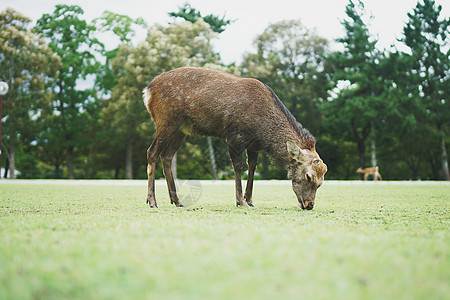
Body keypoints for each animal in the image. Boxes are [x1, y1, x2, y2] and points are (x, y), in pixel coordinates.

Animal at [143, 67, 326, 210]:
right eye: (308, 177)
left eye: (321, 182)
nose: (309, 205)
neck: (263, 131)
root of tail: (148, 90)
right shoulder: (234, 136)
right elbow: (238, 167)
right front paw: (240, 201)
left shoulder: (254, 145)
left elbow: (252, 167)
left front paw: (249, 200)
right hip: (166, 120)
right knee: (151, 152)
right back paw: (152, 201)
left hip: (181, 130)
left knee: (166, 156)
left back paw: (176, 200)